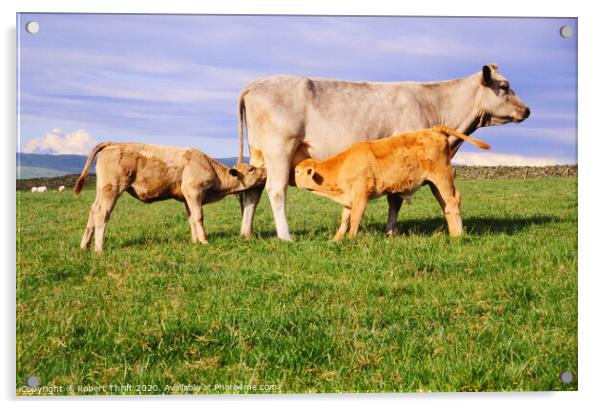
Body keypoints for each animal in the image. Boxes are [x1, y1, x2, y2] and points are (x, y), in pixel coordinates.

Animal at [73, 143, 264, 252]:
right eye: (251, 169)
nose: (266, 169)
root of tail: (112, 144)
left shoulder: (186, 196)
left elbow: (191, 218)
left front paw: (194, 241)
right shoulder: (193, 190)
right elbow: (199, 217)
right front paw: (204, 241)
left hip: (102, 190)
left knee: (93, 211)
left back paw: (84, 246)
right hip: (112, 189)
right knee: (102, 214)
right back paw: (99, 249)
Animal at [294, 124, 488, 239]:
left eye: (297, 171)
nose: (292, 178)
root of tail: (433, 129)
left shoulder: (361, 195)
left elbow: (355, 217)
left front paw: (350, 240)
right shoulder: (348, 197)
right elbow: (345, 219)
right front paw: (336, 240)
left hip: (442, 177)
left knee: (453, 201)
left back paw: (458, 235)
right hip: (435, 184)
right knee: (446, 203)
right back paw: (453, 233)